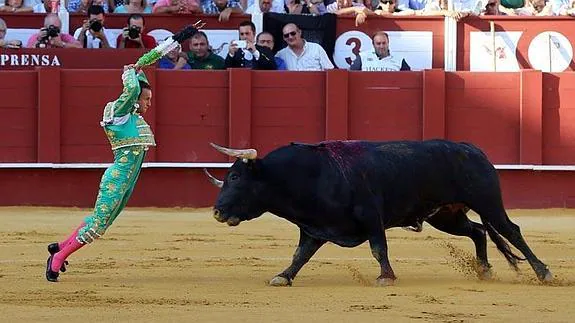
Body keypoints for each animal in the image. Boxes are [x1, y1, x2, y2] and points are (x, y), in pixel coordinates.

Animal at [204, 139, 552, 286]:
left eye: (235, 178)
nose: (218, 212)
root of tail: (473, 150)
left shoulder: (372, 218)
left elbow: (378, 248)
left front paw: (386, 277)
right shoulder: (315, 227)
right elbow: (300, 255)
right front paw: (283, 277)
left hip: (487, 201)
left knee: (510, 231)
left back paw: (543, 272)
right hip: (445, 216)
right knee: (479, 232)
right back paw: (484, 271)